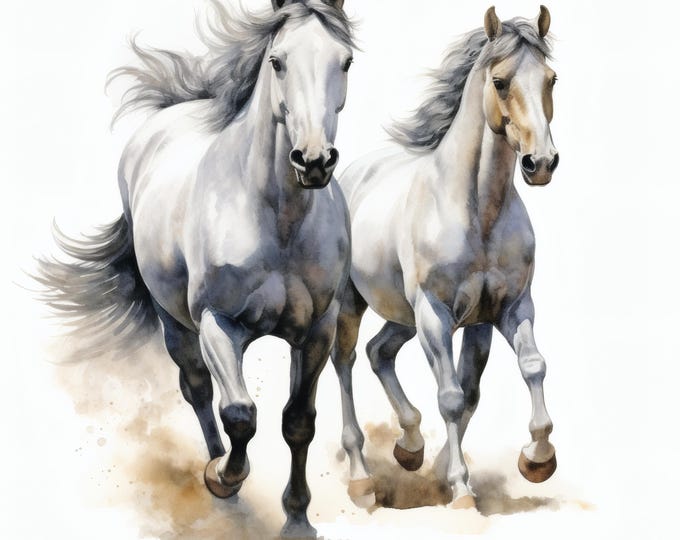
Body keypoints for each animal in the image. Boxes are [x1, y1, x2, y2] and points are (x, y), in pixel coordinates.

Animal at [36, 0, 355, 536]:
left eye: (345, 61)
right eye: (278, 61)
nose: (313, 161)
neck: (278, 220)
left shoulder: (318, 329)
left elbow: (298, 421)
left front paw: (297, 517)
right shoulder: (218, 323)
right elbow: (240, 412)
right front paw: (222, 477)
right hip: (175, 323)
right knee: (198, 388)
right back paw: (217, 468)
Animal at [330, 6, 560, 510]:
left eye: (551, 79)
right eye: (500, 82)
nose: (541, 164)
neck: (477, 213)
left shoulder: (503, 311)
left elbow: (523, 370)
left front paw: (537, 460)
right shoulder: (435, 315)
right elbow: (452, 396)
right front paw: (460, 490)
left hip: (402, 314)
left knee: (379, 352)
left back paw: (410, 447)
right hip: (357, 306)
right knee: (345, 361)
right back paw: (361, 480)